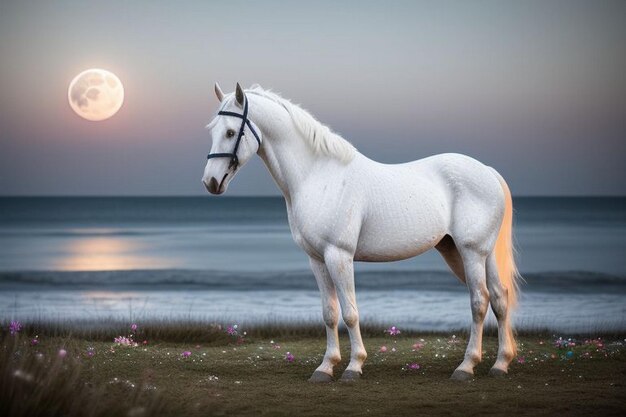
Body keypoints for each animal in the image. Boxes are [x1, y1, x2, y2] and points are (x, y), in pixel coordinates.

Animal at [202, 83, 520, 382]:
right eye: (212, 130)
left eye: (230, 132)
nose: (211, 182)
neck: (318, 176)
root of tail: (488, 172)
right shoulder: (316, 260)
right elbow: (329, 313)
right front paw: (325, 367)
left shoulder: (339, 255)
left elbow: (350, 312)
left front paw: (354, 366)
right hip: (475, 253)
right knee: (499, 297)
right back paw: (501, 364)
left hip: (471, 252)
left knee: (480, 301)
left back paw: (466, 367)